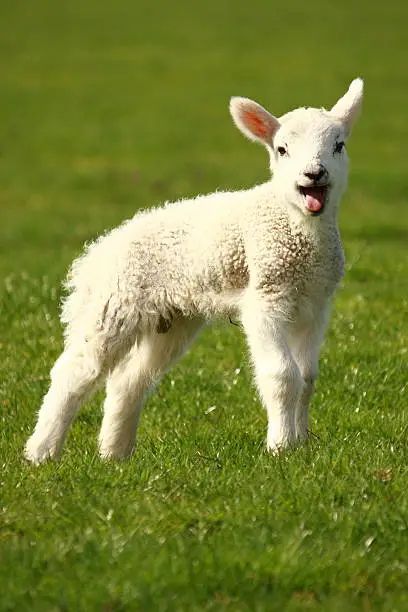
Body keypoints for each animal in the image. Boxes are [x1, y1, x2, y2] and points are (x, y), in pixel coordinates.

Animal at [24, 79, 364, 466]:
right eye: (282, 149)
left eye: (339, 145)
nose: (314, 174)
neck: (298, 230)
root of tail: (97, 252)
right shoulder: (265, 296)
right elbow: (281, 376)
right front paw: (280, 447)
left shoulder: (315, 302)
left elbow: (307, 378)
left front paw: (302, 443)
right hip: (113, 303)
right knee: (75, 371)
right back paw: (41, 452)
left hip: (172, 319)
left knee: (128, 381)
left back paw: (114, 454)